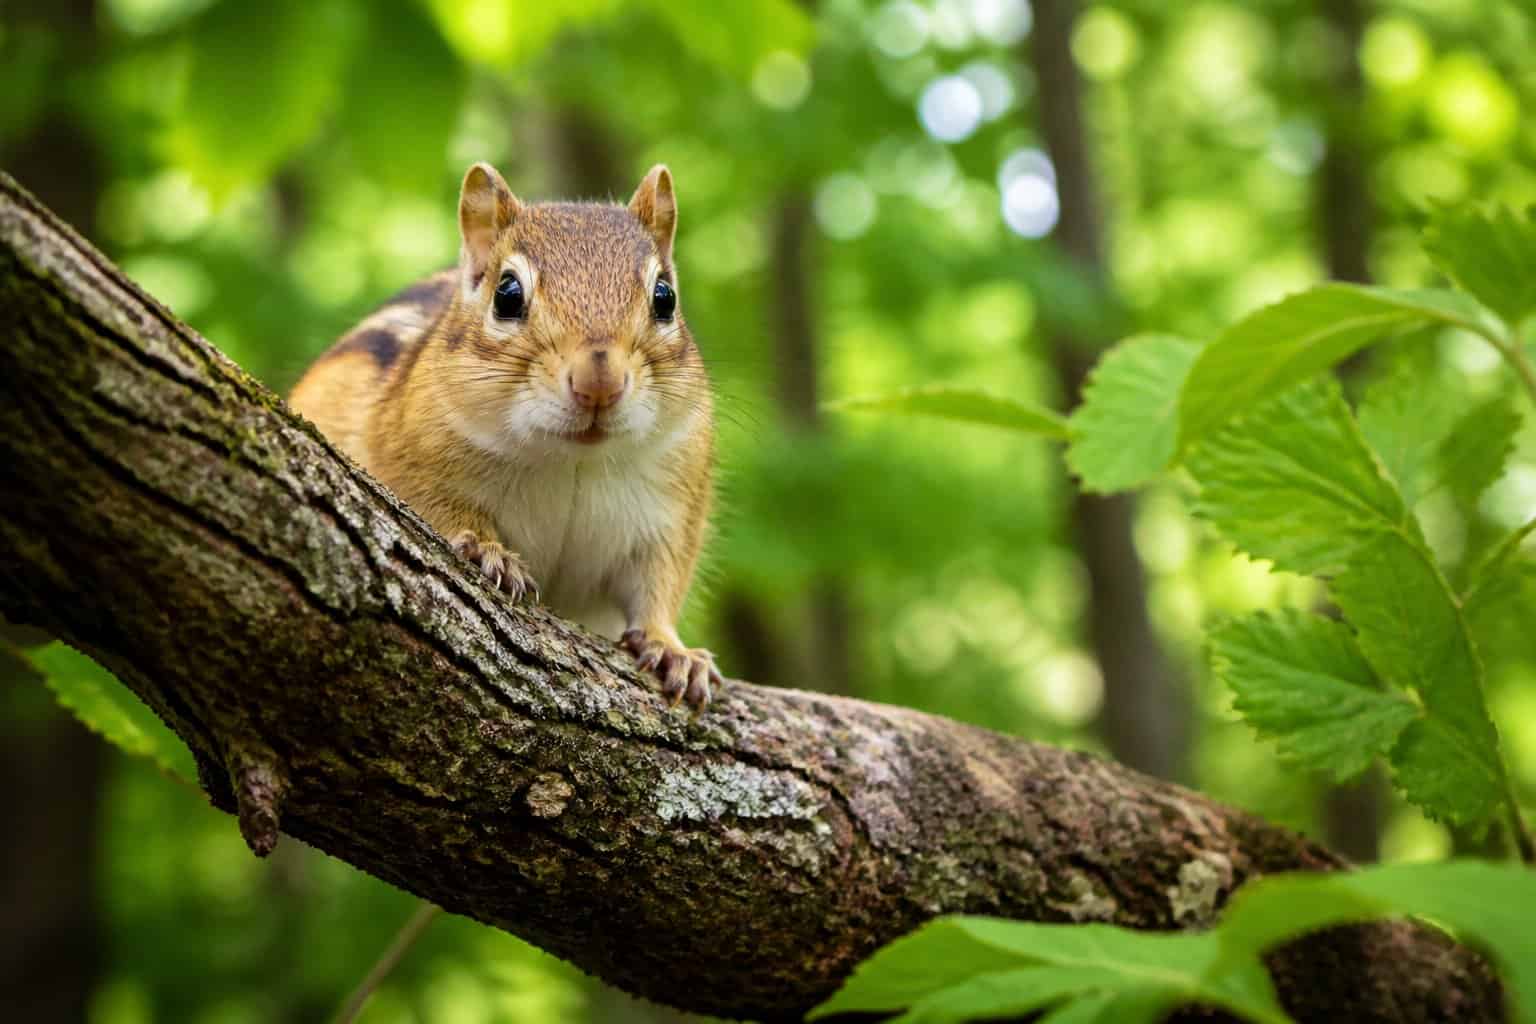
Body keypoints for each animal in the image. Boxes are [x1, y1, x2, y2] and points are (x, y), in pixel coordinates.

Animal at [289, 162, 721, 710]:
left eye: (665, 297)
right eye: (507, 295)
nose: (598, 383)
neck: (571, 461)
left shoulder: (671, 517)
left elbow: (658, 587)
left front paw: (673, 648)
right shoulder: (410, 465)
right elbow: (437, 510)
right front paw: (486, 550)